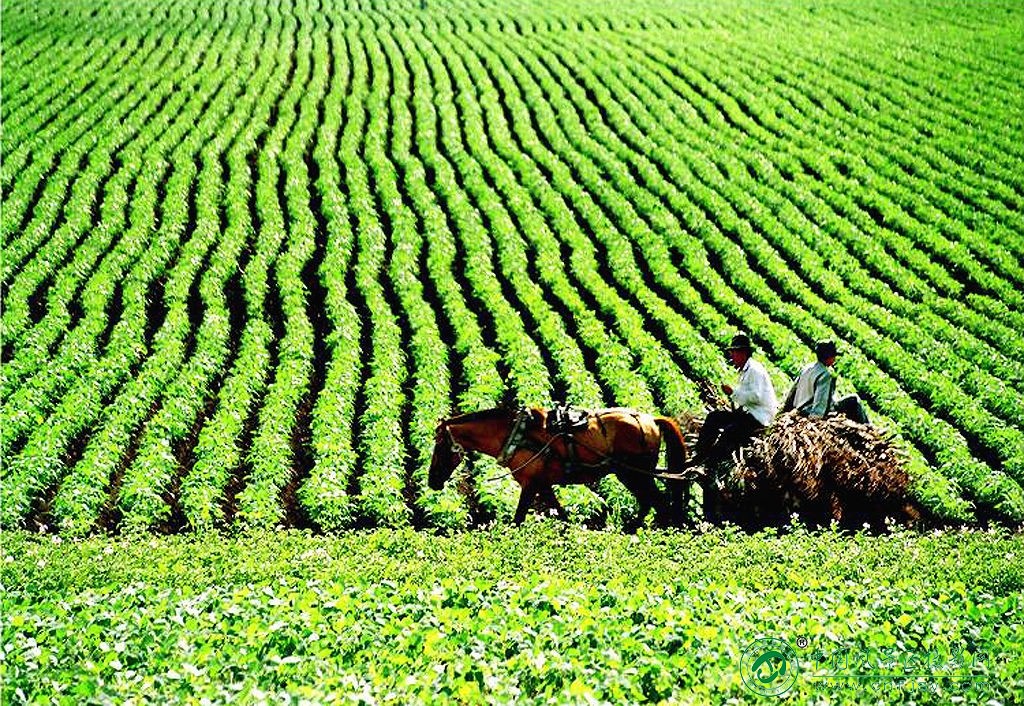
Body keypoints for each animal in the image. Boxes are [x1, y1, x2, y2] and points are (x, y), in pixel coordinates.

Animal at [423, 405, 688, 524]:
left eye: (440, 445)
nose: (432, 480)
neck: (516, 435)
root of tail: (651, 419)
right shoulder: (543, 484)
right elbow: (561, 513)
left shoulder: (530, 484)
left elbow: (518, 519)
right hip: (634, 475)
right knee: (650, 503)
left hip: (634, 474)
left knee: (657, 503)